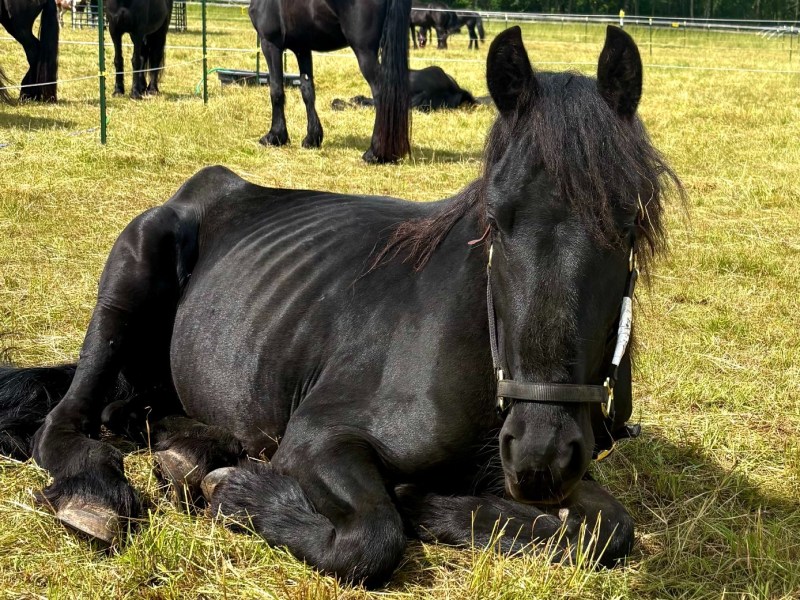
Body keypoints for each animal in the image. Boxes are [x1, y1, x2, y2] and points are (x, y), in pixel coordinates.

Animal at [248, 0, 411, 164]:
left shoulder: (271, 44)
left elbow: (276, 91)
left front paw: (274, 136)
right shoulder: (302, 48)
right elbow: (307, 92)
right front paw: (312, 139)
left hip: (365, 52)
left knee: (382, 95)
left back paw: (374, 153)